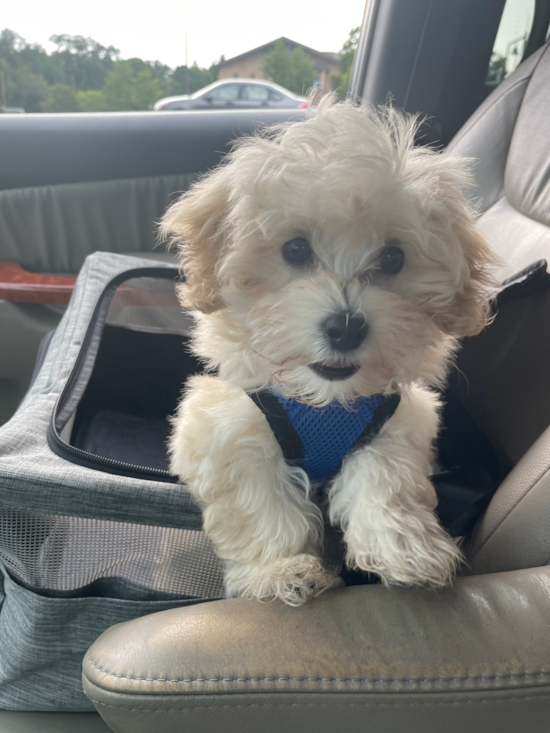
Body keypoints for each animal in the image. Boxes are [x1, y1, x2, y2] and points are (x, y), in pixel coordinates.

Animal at [162, 97, 498, 604]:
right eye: (296, 250)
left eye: (393, 258)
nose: (345, 327)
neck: (326, 402)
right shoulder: (227, 429)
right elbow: (260, 505)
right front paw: (281, 569)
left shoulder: (393, 423)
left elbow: (386, 481)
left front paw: (406, 549)